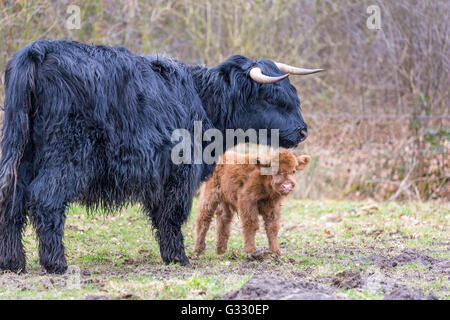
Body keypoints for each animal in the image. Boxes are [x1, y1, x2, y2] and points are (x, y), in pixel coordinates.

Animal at [0, 38, 324, 272]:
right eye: (273, 98)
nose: (303, 131)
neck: (203, 100)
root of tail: (39, 50)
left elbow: (163, 214)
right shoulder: (179, 171)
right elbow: (173, 214)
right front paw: (179, 258)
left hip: (22, 152)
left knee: (11, 199)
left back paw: (13, 263)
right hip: (67, 154)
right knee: (45, 198)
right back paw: (56, 263)